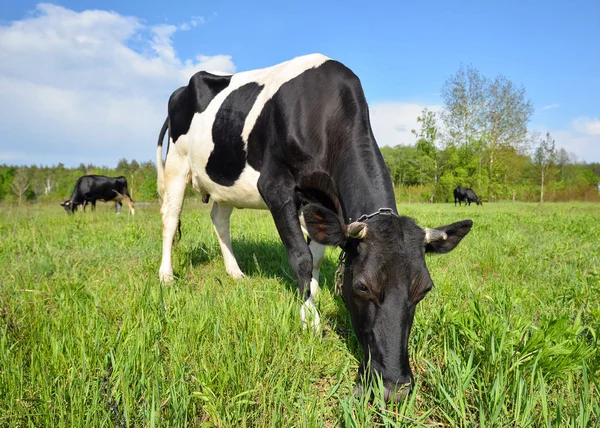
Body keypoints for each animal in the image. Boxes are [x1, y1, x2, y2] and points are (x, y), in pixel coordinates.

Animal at [156, 53, 474, 402]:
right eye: (361, 286)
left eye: (425, 289)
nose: (395, 387)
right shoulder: (276, 187)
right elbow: (301, 256)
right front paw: (309, 316)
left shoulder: (325, 200)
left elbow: (319, 253)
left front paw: (315, 290)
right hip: (176, 165)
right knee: (170, 218)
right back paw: (166, 275)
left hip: (224, 183)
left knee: (219, 218)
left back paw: (235, 272)